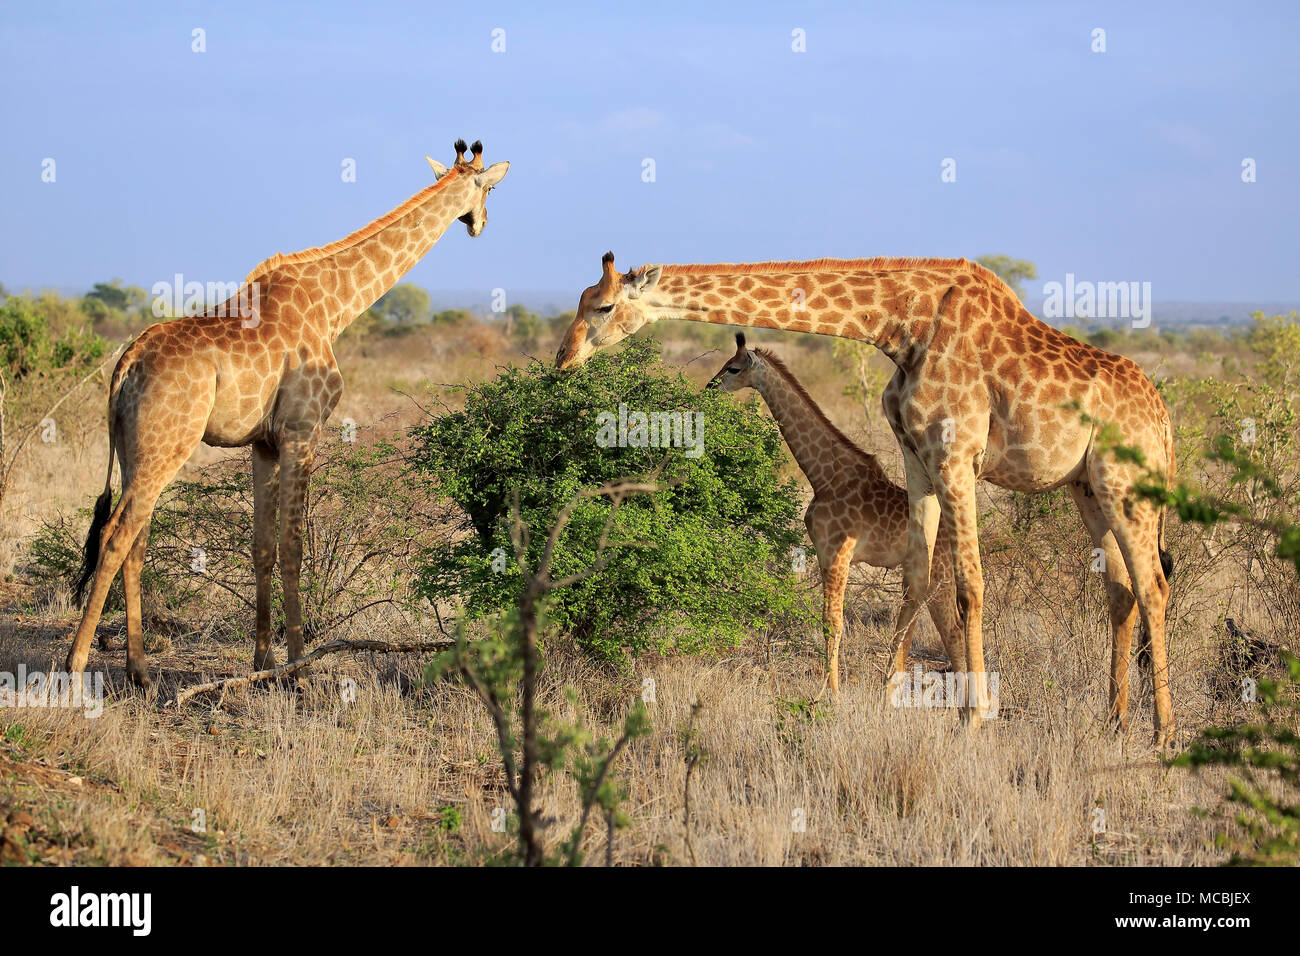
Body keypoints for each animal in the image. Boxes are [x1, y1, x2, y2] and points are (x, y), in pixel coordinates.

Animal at [66, 140, 510, 688]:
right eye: (488, 189)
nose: (480, 224)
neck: (334, 307)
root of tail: (125, 363)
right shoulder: (303, 430)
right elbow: (294, 546)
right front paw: (299, 667)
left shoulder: (263, 444)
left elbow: (261, 546)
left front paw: (263, 662)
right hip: (166, 446)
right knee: (114, 537)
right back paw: (75, 665)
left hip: (134, 451)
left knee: (136, 540)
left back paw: (140, 672)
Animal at [706, 332, 963, 694]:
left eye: (733, 367)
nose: (709, 388)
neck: (824, 474)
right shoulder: (826, 553)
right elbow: (829, 621)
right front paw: (830, 690)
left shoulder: (838, 552)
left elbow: (834, 623)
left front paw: (832, 695)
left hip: (938, 573)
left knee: (950, 630)